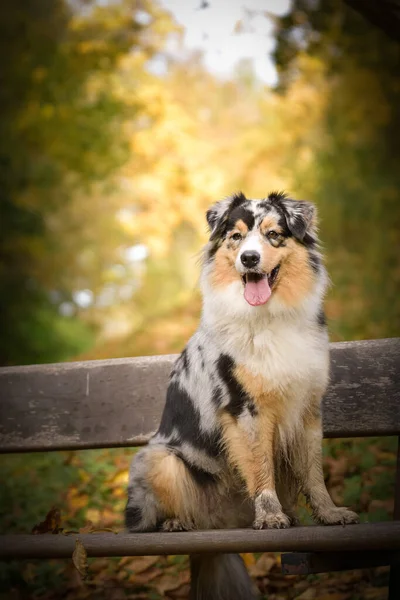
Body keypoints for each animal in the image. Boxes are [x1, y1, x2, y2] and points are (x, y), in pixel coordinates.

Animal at [126, 193, 360, 600]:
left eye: (273, 234)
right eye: (235, 237)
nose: (249, 259)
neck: (270, 317)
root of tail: (220, 530)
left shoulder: (308, 408)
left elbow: (313, 472)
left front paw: (330, 514)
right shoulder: (246, 409)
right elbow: (260, 466)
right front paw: (269, 516)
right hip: (159, 458)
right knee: (158, 513)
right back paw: (177, 523)